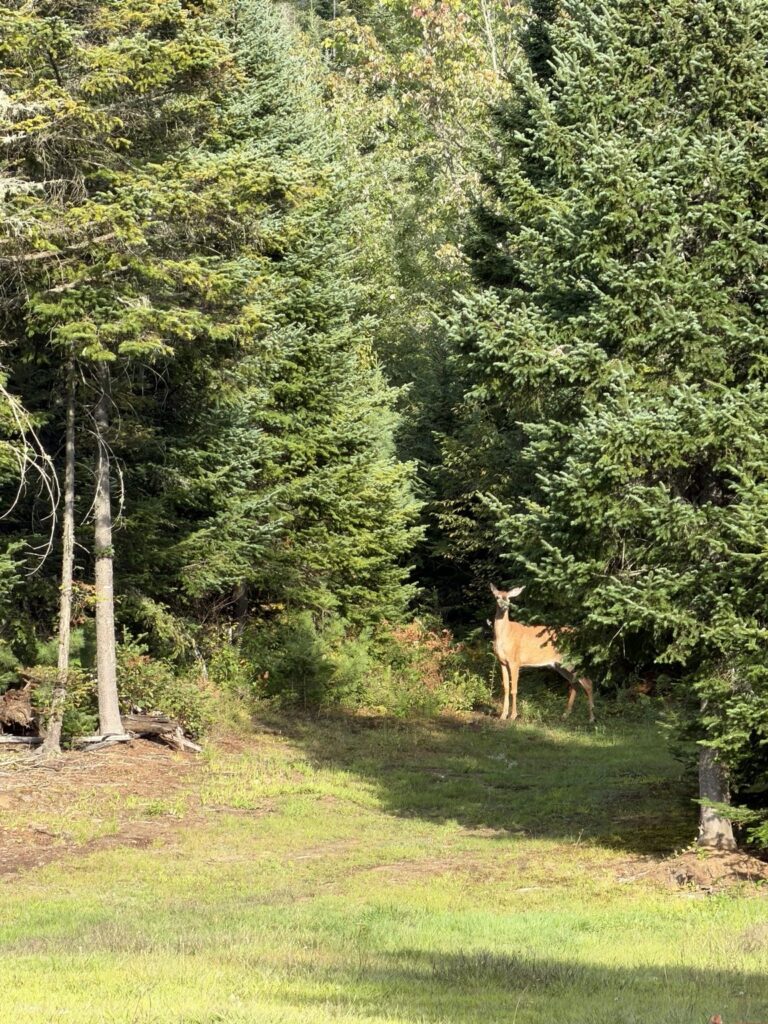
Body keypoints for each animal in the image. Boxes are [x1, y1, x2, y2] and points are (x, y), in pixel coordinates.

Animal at [490, 584, 595, 723]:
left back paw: (592, 718)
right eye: (497, 597)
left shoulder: (515, 661)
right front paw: (503, 715)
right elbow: (506, 688)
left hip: (572, 660)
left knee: (588, 683)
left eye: (508, 598)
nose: (505, 605)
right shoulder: (502, 662)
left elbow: (514, 689)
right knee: (574, 684)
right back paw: (565, 715)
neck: (506, 634)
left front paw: (513, 716)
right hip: (560, 665)